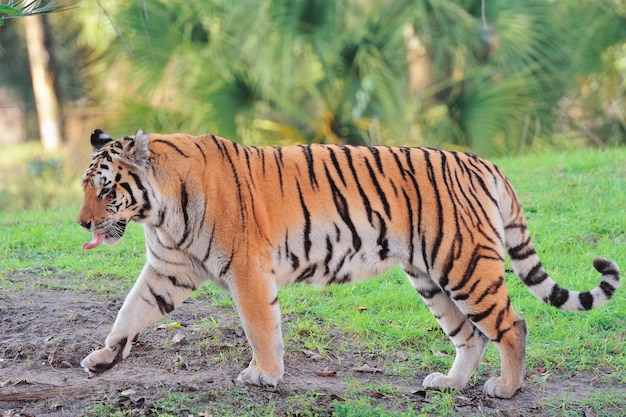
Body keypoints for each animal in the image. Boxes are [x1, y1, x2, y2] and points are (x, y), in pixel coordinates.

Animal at [75, 128, 616, 398]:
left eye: (104, 188)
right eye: (87, 188)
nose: (82, 224)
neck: (158, 211)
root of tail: (482, 162)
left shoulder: (247, 271)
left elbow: (260, 327)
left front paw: (264, 375)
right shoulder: (168, 270)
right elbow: (129, 311)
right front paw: (103, 358)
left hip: (463, 264)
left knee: (512, 325)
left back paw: (505, 389)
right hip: (430, 278)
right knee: (471, 335)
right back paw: (449, 384)